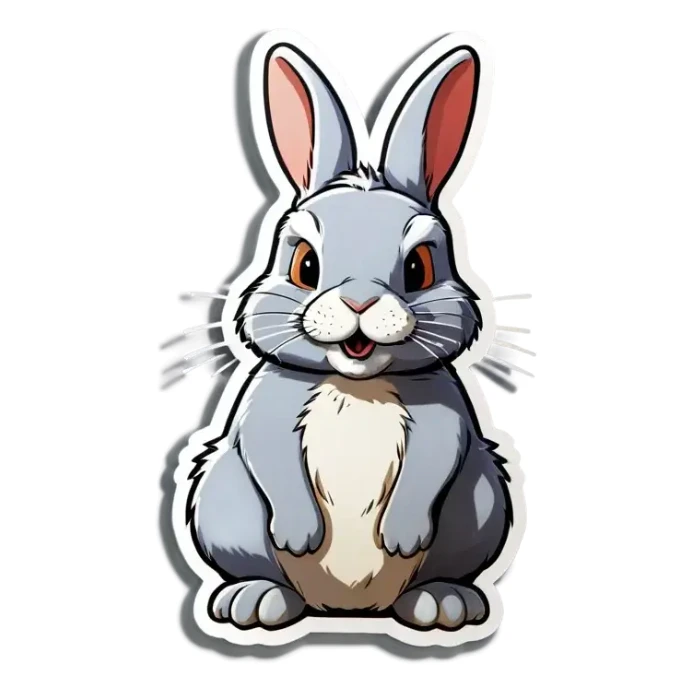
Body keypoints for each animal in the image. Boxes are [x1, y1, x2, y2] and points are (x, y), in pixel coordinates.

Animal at [184, 37, 514, 633]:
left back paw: (443, 603)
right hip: (223, 501)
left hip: (481, 504)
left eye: (419, 268)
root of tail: (347, 609)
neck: (356, 384)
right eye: (305, 265)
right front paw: (299, 534)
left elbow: (434, 460)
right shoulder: (265, 411)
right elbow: (269, 453)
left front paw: (402, 536)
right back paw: (254, 600)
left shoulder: (446, 418)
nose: (359, 302)